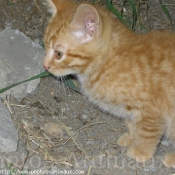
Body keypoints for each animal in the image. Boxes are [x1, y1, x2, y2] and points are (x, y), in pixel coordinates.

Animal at [43, 0, 175, 167]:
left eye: (59, 54)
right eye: (45, 45)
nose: (45, 66)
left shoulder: (152, 110)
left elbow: (148, 131)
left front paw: (141, 151)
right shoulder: (131, 110)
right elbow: (132, 123)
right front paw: (131, 137)